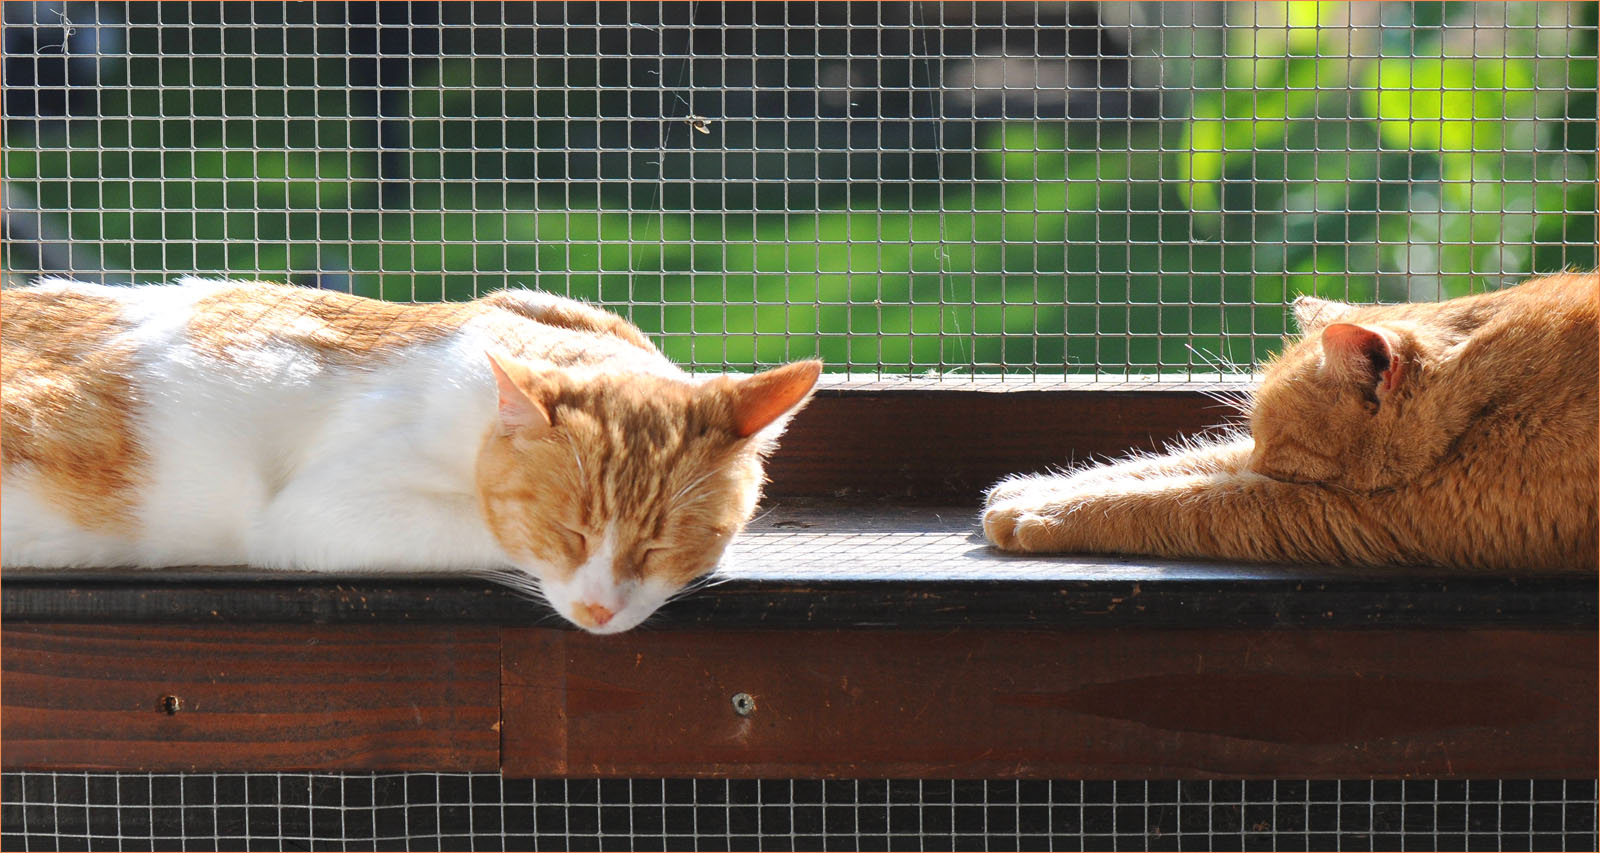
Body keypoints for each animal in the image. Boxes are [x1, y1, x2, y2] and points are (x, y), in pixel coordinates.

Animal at [979, 268, 1593, 569]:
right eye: (1259, 443)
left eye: (1281, 454)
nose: (1260, 462)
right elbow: (1178, 463)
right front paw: (1033, 489)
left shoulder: (1355, 514)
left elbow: (1177, 500)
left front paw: (1047, 512)